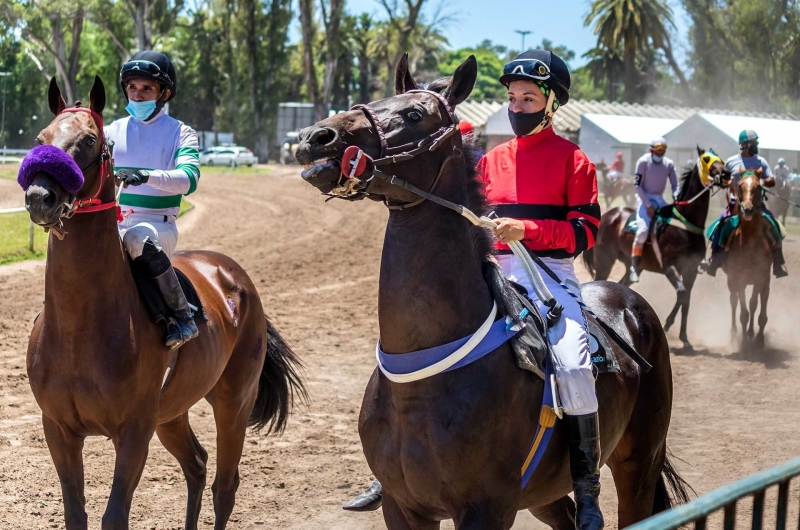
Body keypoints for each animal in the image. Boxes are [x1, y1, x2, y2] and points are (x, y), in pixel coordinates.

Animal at [21, 77, 306, 528]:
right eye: (41, 138)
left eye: (89, 140)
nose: (39, 197)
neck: (79, 328)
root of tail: (234, 275)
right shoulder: (59, 429)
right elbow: (75, 514)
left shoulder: (134, 432)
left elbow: (114, 516)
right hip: (171, 413)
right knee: (196, 463)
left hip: (234, 402)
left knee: (225, 485)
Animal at [294, 54, 688, 528]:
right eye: (379, 99)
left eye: (414, 114)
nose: (316, 137)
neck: (420, 380)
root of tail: (630, 304)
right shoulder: (402, 506)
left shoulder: (487, 507)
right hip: (543, 494)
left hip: (638, 465)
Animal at [580, 147, 732, 346]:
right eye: (707, 159)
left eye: (720, 159)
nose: (727, 173)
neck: (685, 225)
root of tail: (608, 214)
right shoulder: (668, 266)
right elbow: (682, 292)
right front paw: (668, 325)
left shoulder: (691, 270)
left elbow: (686, 300)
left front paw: (684, 338)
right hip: (605, 260)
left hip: (632, 265)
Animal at [720, 169, 772, 350]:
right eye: (740, 186)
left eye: (758, 187)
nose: (748, 209)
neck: (749, 246)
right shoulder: (739, 280)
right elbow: (744, 312)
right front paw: (743, 343)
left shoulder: (761, 279)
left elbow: (756, 307)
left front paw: (758, 339)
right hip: (731, 281)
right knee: (734, 302)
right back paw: (734, 333)